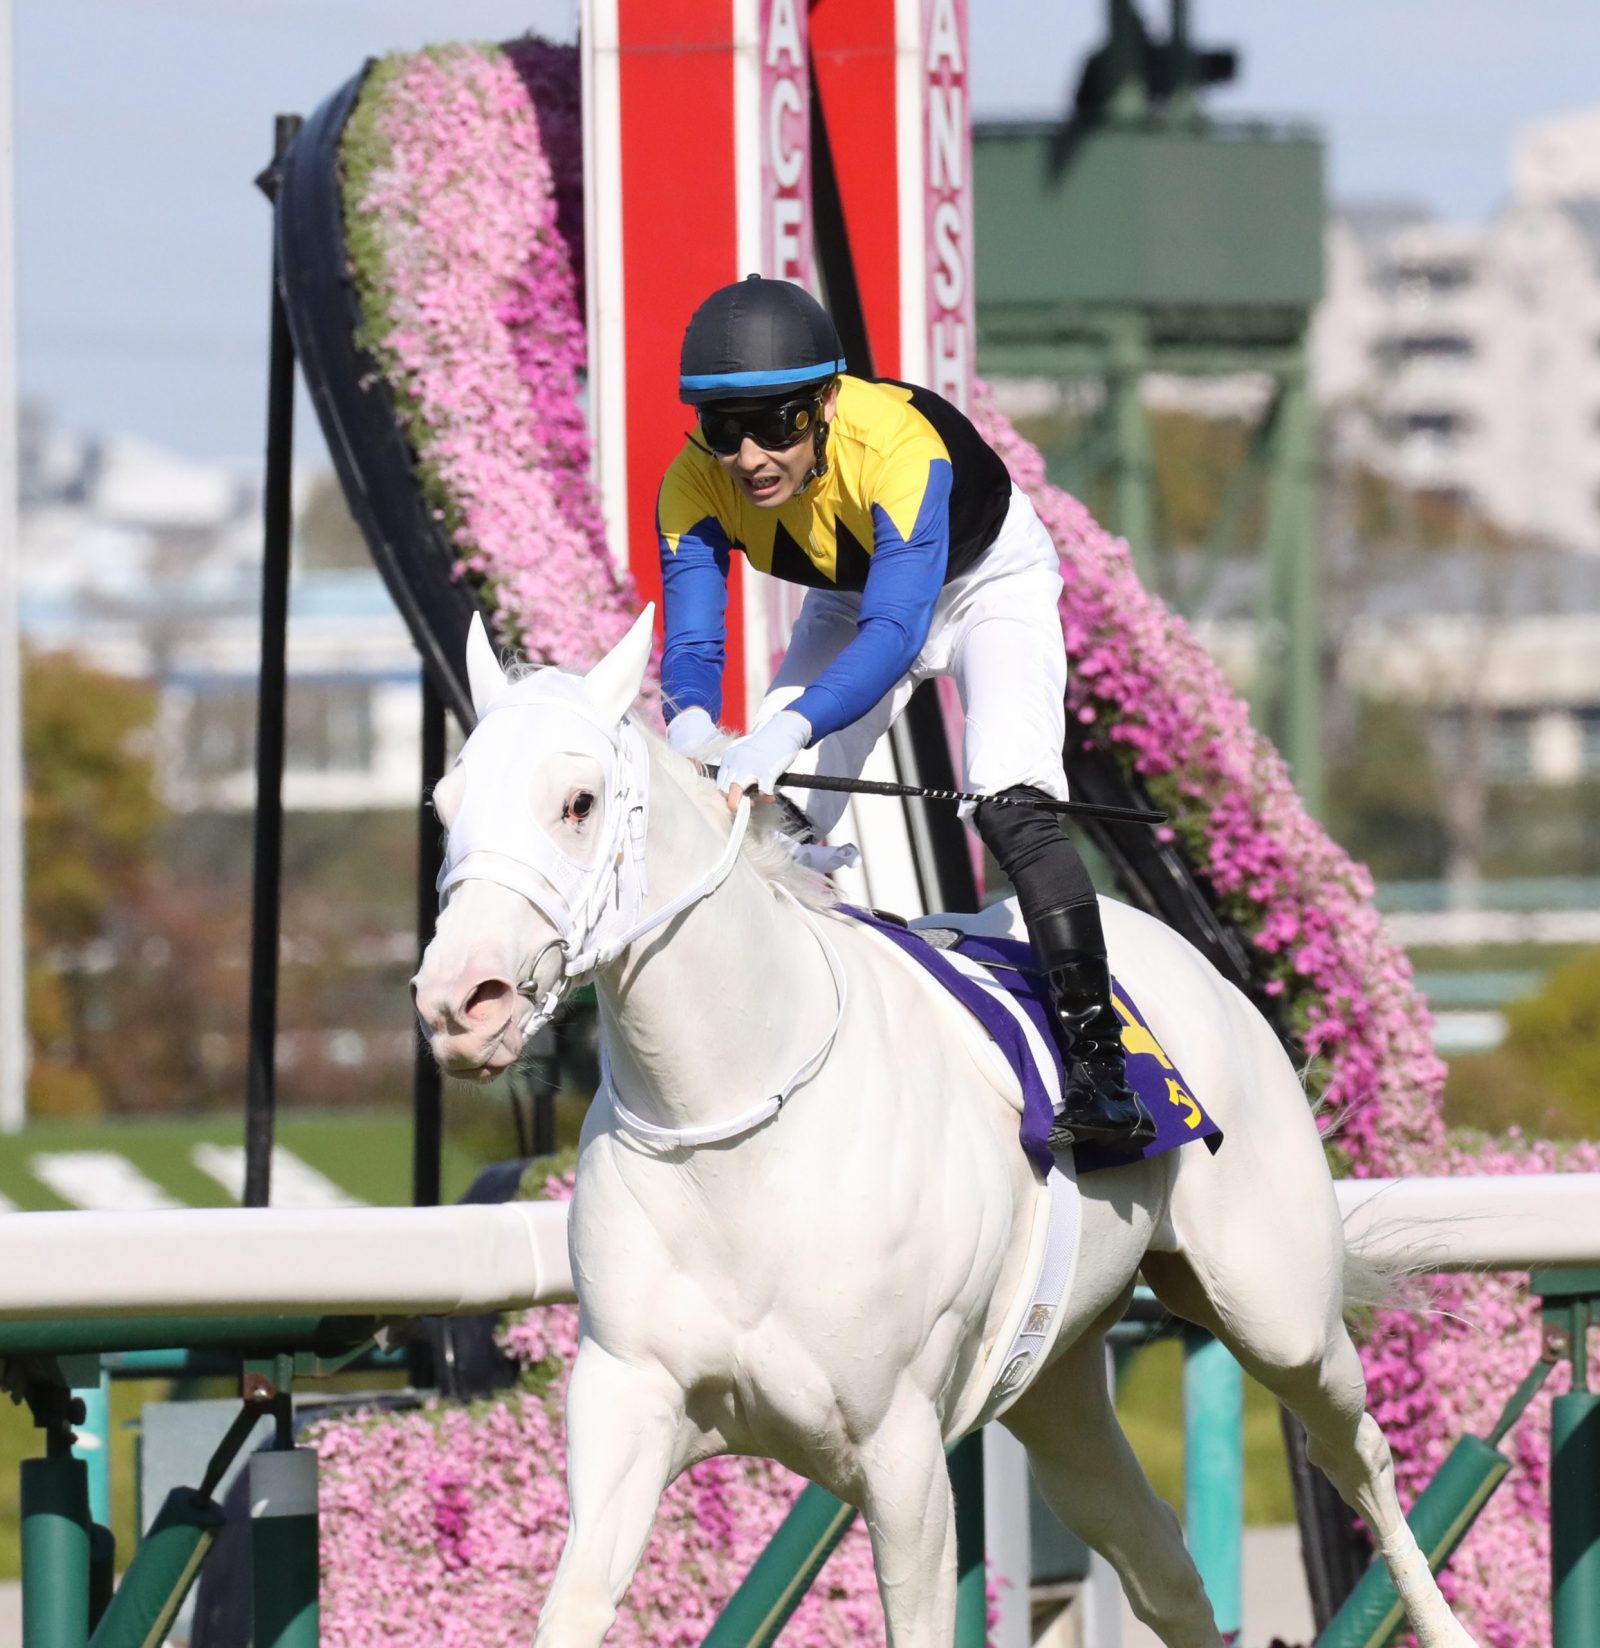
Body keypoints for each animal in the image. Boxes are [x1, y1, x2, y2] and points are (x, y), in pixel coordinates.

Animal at [413, 609, 1476, 1648]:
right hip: (1057, 1384)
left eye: (579, 802)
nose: (459, 1002)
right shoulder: (629, 1400)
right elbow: (575, 1603)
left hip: (1278, 1312)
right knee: (1160, 1564)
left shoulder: (902, 1448)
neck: (734, 1126)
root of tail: (1197, 965)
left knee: (1360, 1454)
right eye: (442, 805)